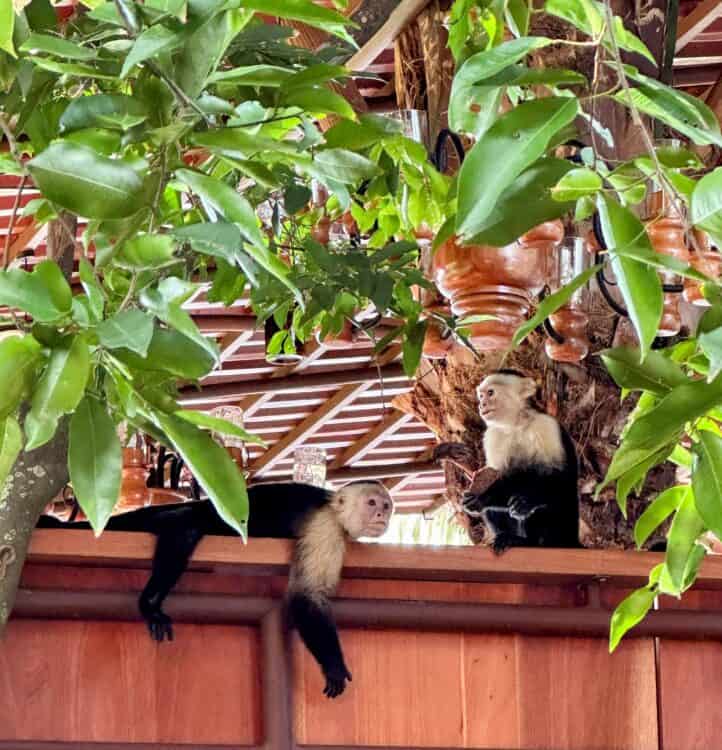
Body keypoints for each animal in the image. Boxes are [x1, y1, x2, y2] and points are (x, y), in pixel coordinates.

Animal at [39, 482, 394, 700]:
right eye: (371, 502)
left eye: (386, 506)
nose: (381, 514)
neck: (334, 508)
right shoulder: (325, 528)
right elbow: (307, 595)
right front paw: (333, 666)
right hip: (208, 517)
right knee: (184, 523)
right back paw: (149, 601)